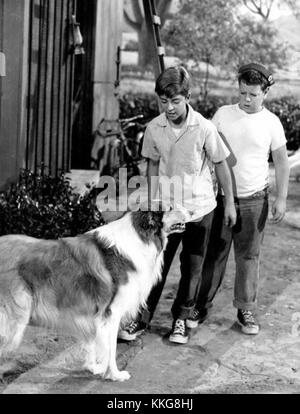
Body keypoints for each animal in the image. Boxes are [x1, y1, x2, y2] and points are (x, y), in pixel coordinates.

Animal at [0, 206, 189, 382]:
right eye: (171, 207)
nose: (191, 210)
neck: (140, 236)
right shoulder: (112, 313)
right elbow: (111, 348)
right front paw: (115, 374)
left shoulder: (94, 314)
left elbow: (91, 341)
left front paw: (93, 367)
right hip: (15, 318)